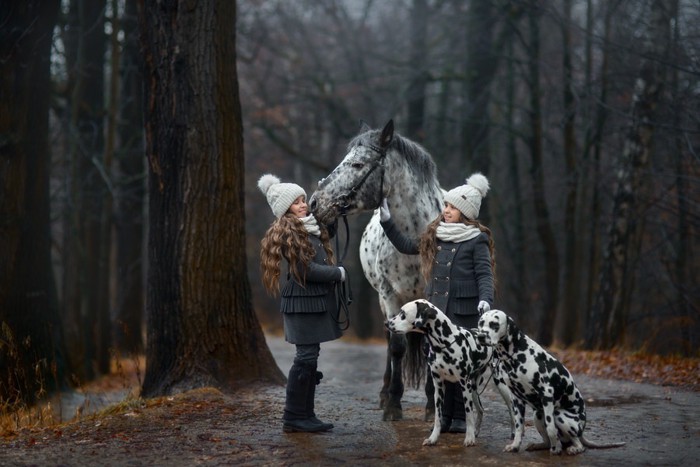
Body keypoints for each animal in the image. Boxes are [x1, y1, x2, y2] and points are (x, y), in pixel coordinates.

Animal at [388, 302, 516, 448]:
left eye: (403, 314)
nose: (387, 323)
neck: (445, 342)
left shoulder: (464, 384)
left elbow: (468, 414)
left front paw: (469, 438)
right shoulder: (438, 386)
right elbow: (438, 417)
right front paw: (433, 438)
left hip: (500, 385)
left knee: (511, 409)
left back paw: (513, 433)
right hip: (473, 389)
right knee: (481, 409)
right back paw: (476, 432)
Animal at [476, 310, 624, 458]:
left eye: (494, 324)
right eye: (481, 323)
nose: (481, 336)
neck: (516, 354)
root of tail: (582, 431)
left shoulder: (546, 394)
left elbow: (551, 427)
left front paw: (556, 448)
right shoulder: (516, 399)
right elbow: (519, 426)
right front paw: (515, 446)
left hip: (560, 416)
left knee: (579, 444)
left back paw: (573, 448)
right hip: (537, 415)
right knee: (548, 440)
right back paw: (539, 445)